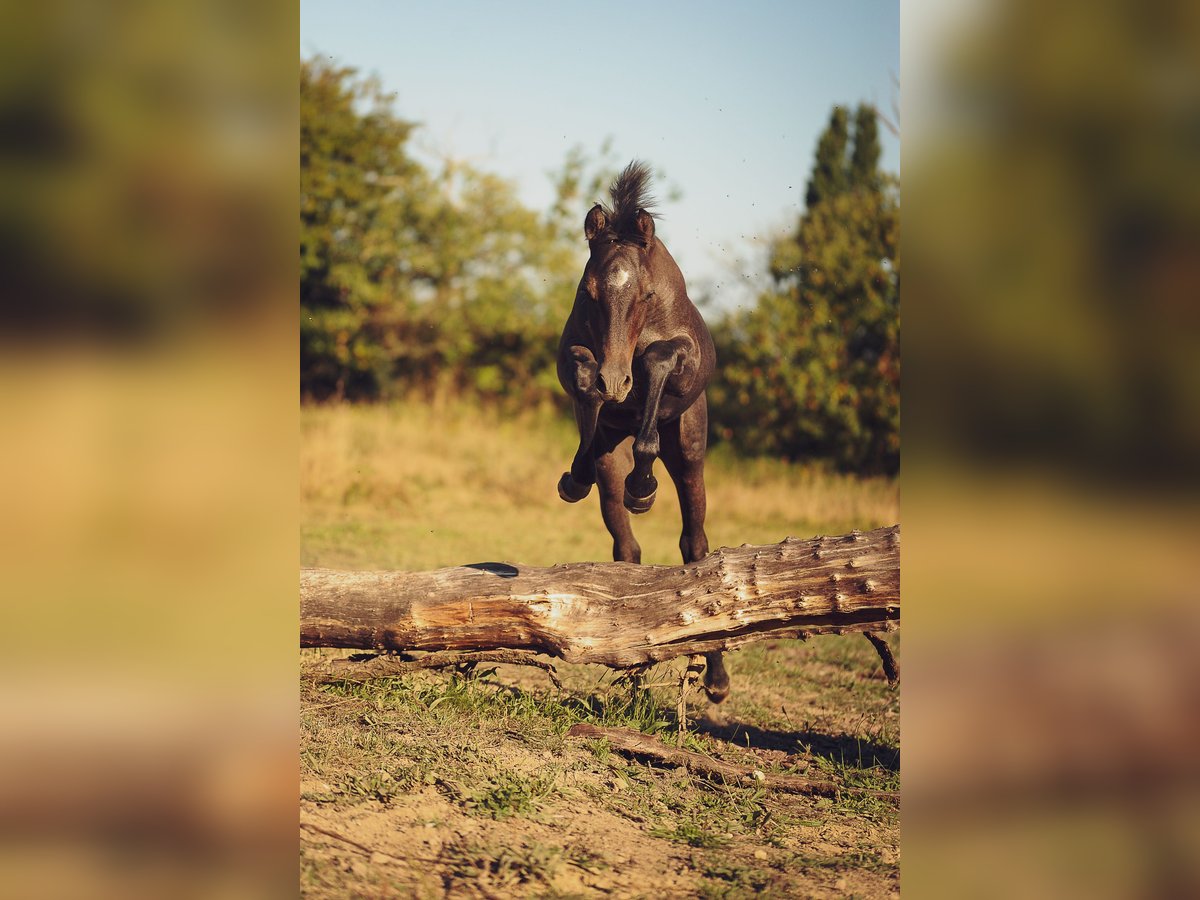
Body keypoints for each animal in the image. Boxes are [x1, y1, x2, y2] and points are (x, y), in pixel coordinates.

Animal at [555, 161, 729, 704]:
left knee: (696, 547)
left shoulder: (680, 357)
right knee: (625, 548)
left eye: (645, 295)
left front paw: (645, 483)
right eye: (588, 292)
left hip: (690, 457)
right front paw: (577, 475)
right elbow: (583, 374)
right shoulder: (572, 360)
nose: (617, 383)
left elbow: (656, 358)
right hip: (613, 467)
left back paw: (717, 680)